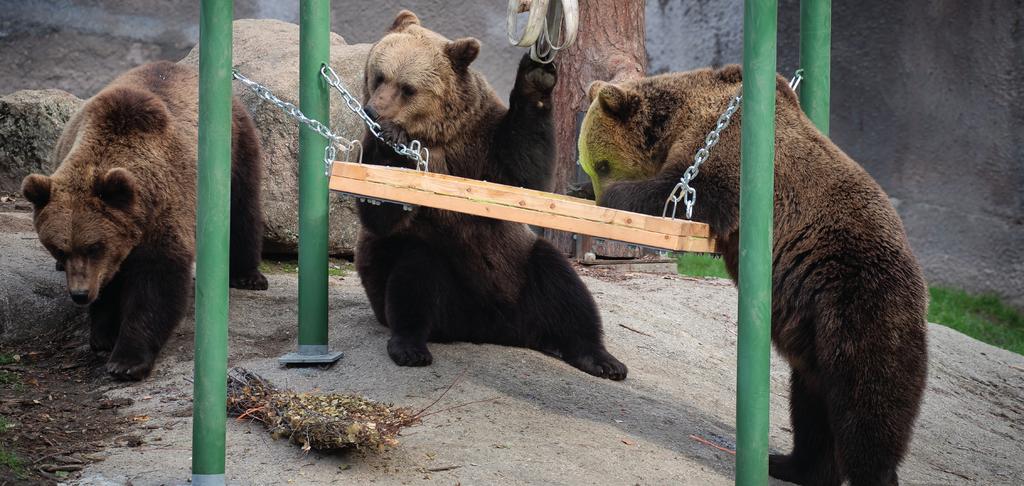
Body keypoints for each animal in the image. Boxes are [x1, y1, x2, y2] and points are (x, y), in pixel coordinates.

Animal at [22, 59, 270, 380]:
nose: (79, 294)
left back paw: (248, 275)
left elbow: (156, 283)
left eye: (94, 246)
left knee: (242, 207)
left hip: (234, 145)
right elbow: (111, 282)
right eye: (58, 248)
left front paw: (127, 361)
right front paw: (103, 333)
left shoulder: (163, 209)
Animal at [352, 8, 626, 380]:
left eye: (407, 88)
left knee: (564, 284)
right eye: (380, 76)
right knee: (415, 275)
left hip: (520, 268)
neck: (437, 135)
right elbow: (380, 211)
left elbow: (524, 171)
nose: (373, 111)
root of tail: (494, 327)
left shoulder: (478, 139)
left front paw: (537, 74)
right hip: (433, 284)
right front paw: (391, 141)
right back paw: (410, 346)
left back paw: (599, 358)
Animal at [585, 65, 929, 486]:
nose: (593, 185)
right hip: (816, 329)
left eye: (601, 163)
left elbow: (689, 195)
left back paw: (868, 472)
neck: (681, 117)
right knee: (811, 400)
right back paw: (790, 464)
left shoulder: (729, 148)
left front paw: (614, 196)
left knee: (868, 400)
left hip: (863, 301)